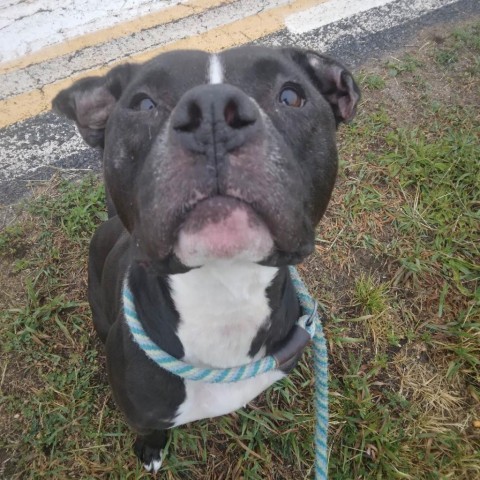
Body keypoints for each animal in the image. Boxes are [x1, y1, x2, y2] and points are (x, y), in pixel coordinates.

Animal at [53, 46, 360, 472]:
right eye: (143, 103)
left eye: (291, 95)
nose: (214, 112)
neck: (224, 291)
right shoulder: (142, 413)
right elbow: (150, 430)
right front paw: (151, 449)